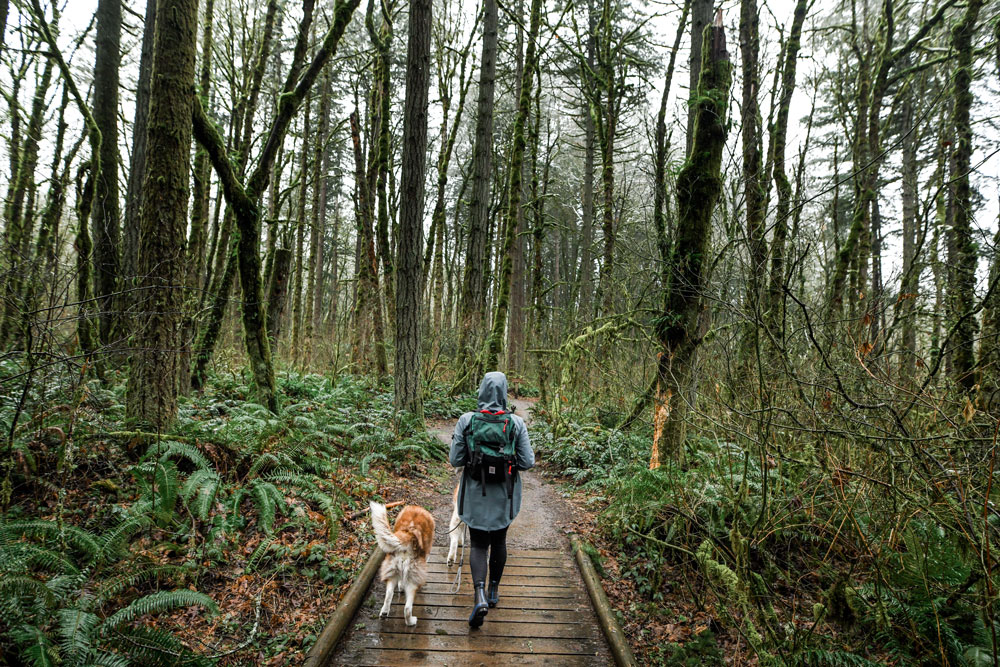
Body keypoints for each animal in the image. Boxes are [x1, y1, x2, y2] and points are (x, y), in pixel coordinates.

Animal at [366, 500, 432, 628]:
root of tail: (409, 534)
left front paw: (401, 586)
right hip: (412, 582)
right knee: (407, 608)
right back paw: (411, 622)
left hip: (392, 572)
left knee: (388, 595)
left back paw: (384, 613)